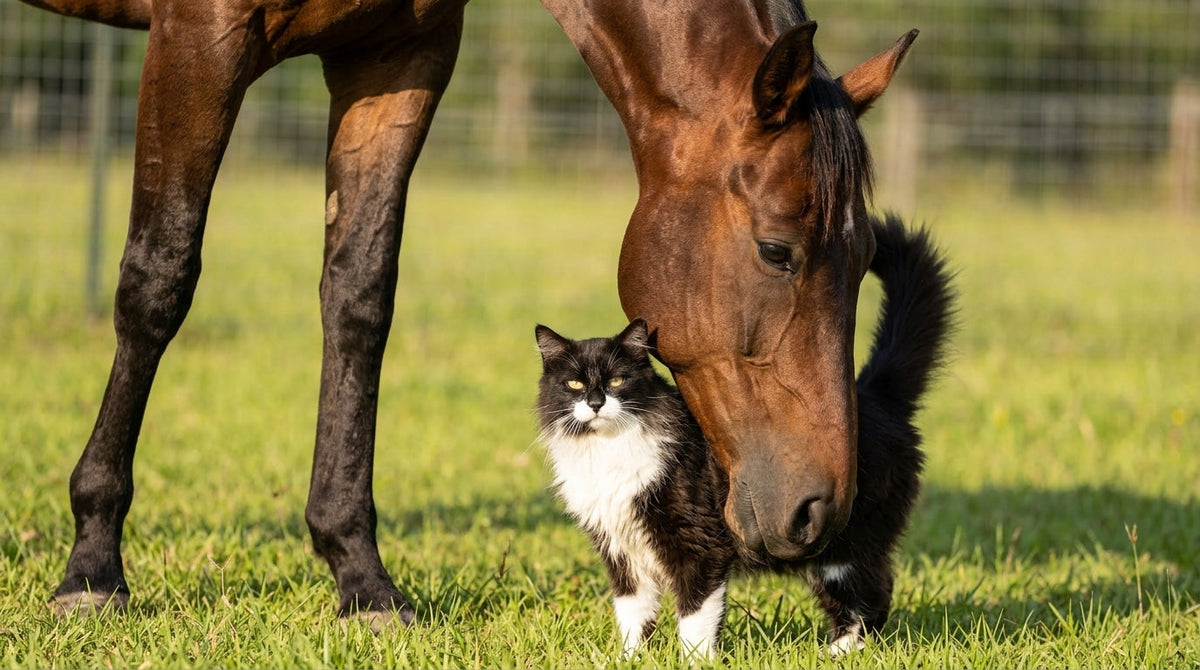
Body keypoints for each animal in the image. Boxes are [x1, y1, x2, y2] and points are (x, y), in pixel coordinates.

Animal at [20, 0, 946, 639]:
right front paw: (92, 568)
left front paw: (360, 578)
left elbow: (358, 297)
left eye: (866, 257)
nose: (819, 509)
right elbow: (158, 280)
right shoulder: (198, 34)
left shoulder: (396, 54)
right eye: (776, 251)